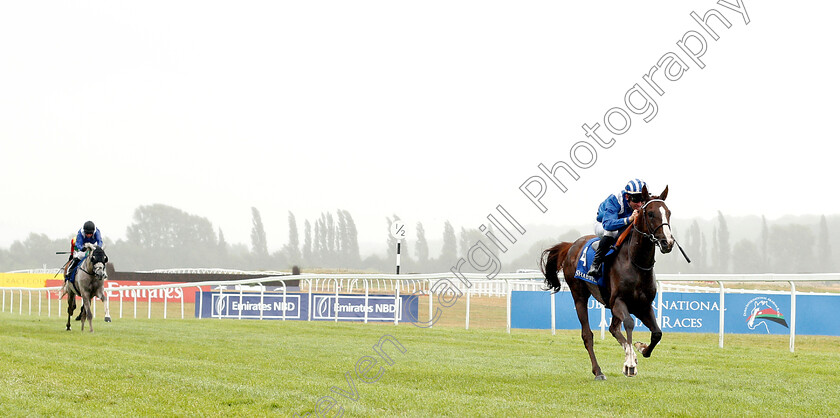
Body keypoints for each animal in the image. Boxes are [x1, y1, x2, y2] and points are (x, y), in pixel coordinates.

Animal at [544, 185, 676, 378]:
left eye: (668, 212)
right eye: (650, 213)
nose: (668, 242)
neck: (635, 262)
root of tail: (571, 246)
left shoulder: (643, 305)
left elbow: (657, 333)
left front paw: (640, 350)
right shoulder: (618, 301)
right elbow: (629, 323)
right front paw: (630, 364)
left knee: (614, 329)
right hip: (579, 295)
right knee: (587, 334)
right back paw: (598, 371)